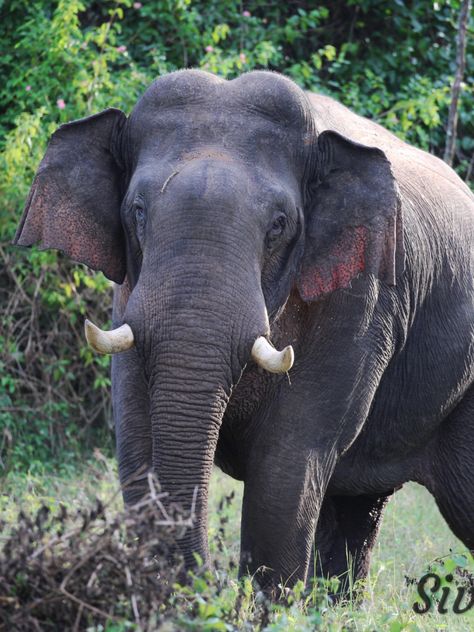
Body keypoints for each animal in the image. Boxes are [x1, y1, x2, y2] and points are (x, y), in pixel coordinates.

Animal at [14, 71, 474, 596]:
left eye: (278, 225)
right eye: (138, 211)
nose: (202, 583)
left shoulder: (363, 301)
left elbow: (286, 464)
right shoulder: (127, 293)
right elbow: (139, 444)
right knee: (356, 510)